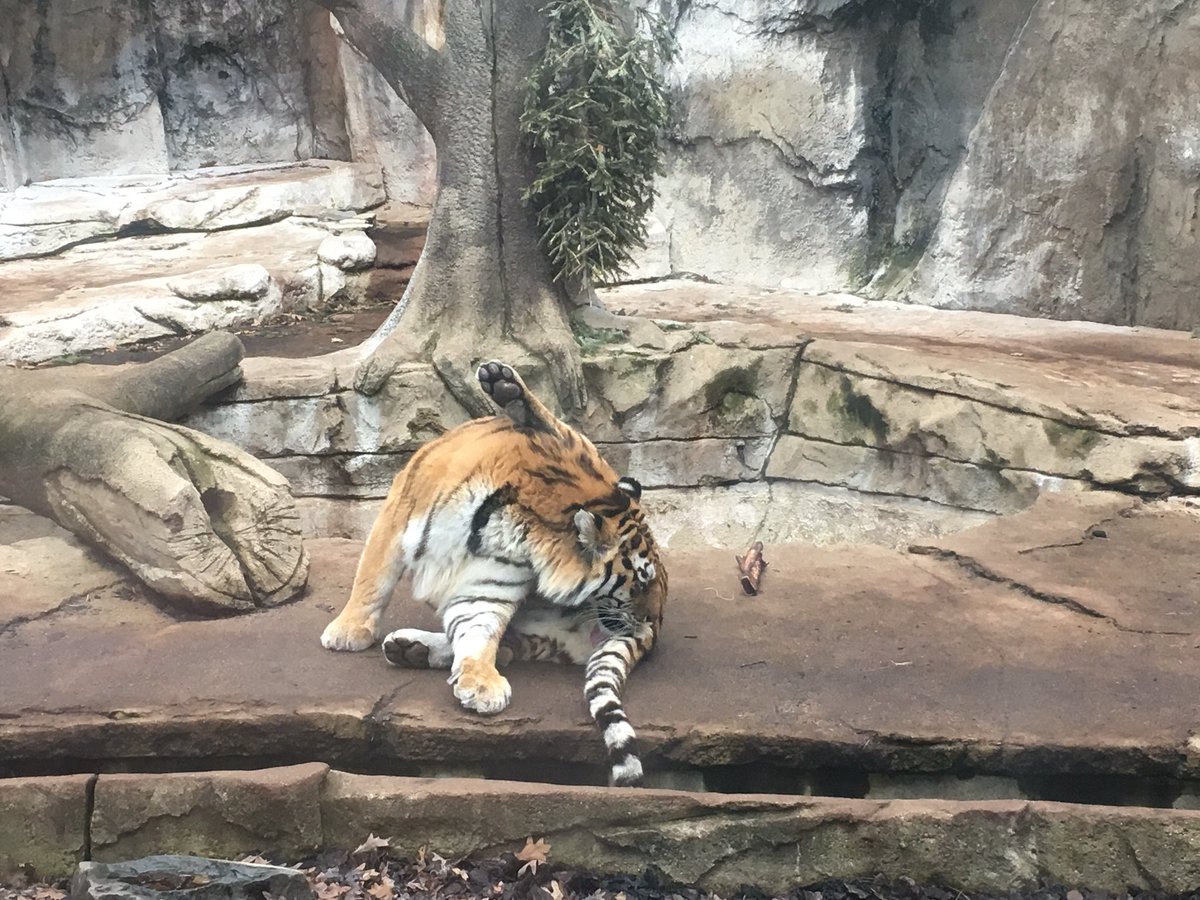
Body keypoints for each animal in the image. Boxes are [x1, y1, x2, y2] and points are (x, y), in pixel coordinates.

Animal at [319, 360, 667, 787]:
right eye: (642, 581)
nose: (650, 616)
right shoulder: (399, 515)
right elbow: (372, 577)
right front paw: (348, 631)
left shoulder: (492, 578)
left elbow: (478, 626)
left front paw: (481, 683)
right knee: (554, 427)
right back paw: (504, 386)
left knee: (509, 645)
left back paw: (414, 649)